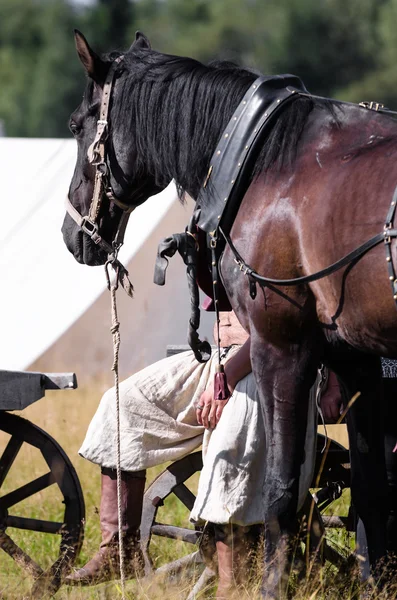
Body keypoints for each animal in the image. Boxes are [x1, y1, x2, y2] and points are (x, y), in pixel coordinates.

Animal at [62, 29, 396, 596]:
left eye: (76, 124)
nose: (71, 235)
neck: (271, 163)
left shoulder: (281, 346)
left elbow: (282, 489)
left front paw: (272, 583)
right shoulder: (357, 361)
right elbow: (373, 494)